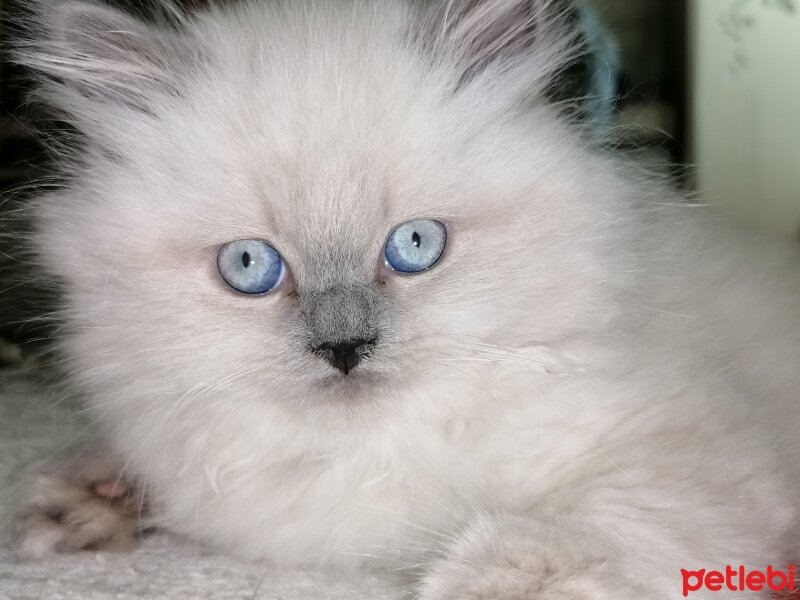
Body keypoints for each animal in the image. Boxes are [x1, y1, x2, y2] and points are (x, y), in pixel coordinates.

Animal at [9, 0, 800, 596]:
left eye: (416, 246)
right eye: (250, 266)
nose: (344, 349)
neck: (378, 454)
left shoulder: (690, 462)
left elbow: (579, 533)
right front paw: (88, 502)